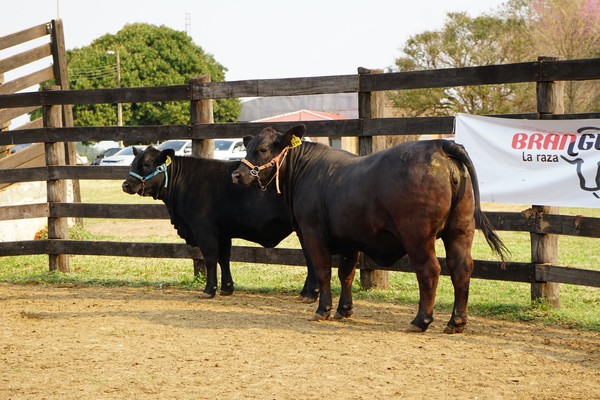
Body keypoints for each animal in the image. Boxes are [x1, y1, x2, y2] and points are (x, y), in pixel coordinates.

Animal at [121, 146, 318, 300]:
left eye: (147, 164)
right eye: (133, 163)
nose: (126, 185)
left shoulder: (203, 230)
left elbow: (210, 257)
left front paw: (209, 289)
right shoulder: (223, 232)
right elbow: (224, 258)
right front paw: (227, 288)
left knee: (311, 257)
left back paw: (310, 293)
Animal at [232, 126, 508, 334]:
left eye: (262, 149)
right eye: (248, 147)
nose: (236, 175)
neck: (305, 170)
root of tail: (439, 145)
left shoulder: (312, 233)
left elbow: (323, 272)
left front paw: (323, 310)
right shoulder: (349, 240)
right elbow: (346, 274)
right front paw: (344, 310)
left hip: (418, 235)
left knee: (430, 271)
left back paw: (421, 320)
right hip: (461, 229)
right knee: (461, 268)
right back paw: (456, 322)